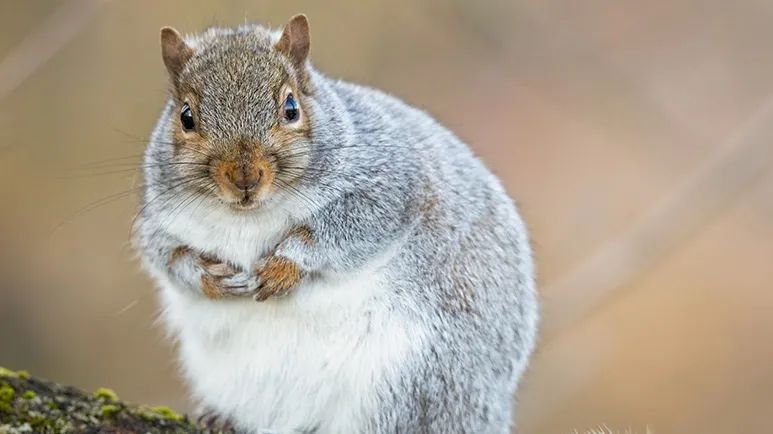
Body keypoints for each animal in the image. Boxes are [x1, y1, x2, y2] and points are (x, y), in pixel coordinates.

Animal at [134, 14, 539, 434]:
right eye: (186, 117)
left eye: (291, 108)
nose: (245, 178)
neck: (248, 215)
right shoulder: (158, 220)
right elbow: (164, 253)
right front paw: (207, 276)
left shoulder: (391, 182)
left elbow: (347, 229)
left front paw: (283, 266)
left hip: (412, 384)